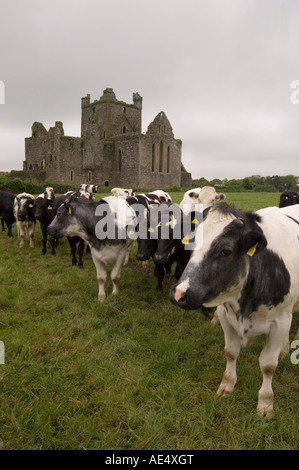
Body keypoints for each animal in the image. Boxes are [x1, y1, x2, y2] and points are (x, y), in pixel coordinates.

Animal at [171, 204, 299, 416]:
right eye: (192, 243)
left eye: (226, 251)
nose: (179, 294)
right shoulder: (225, 315)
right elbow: (231, 352)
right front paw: (227, 384)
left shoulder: (280, 321)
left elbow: (268, 365)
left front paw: (265, 402)